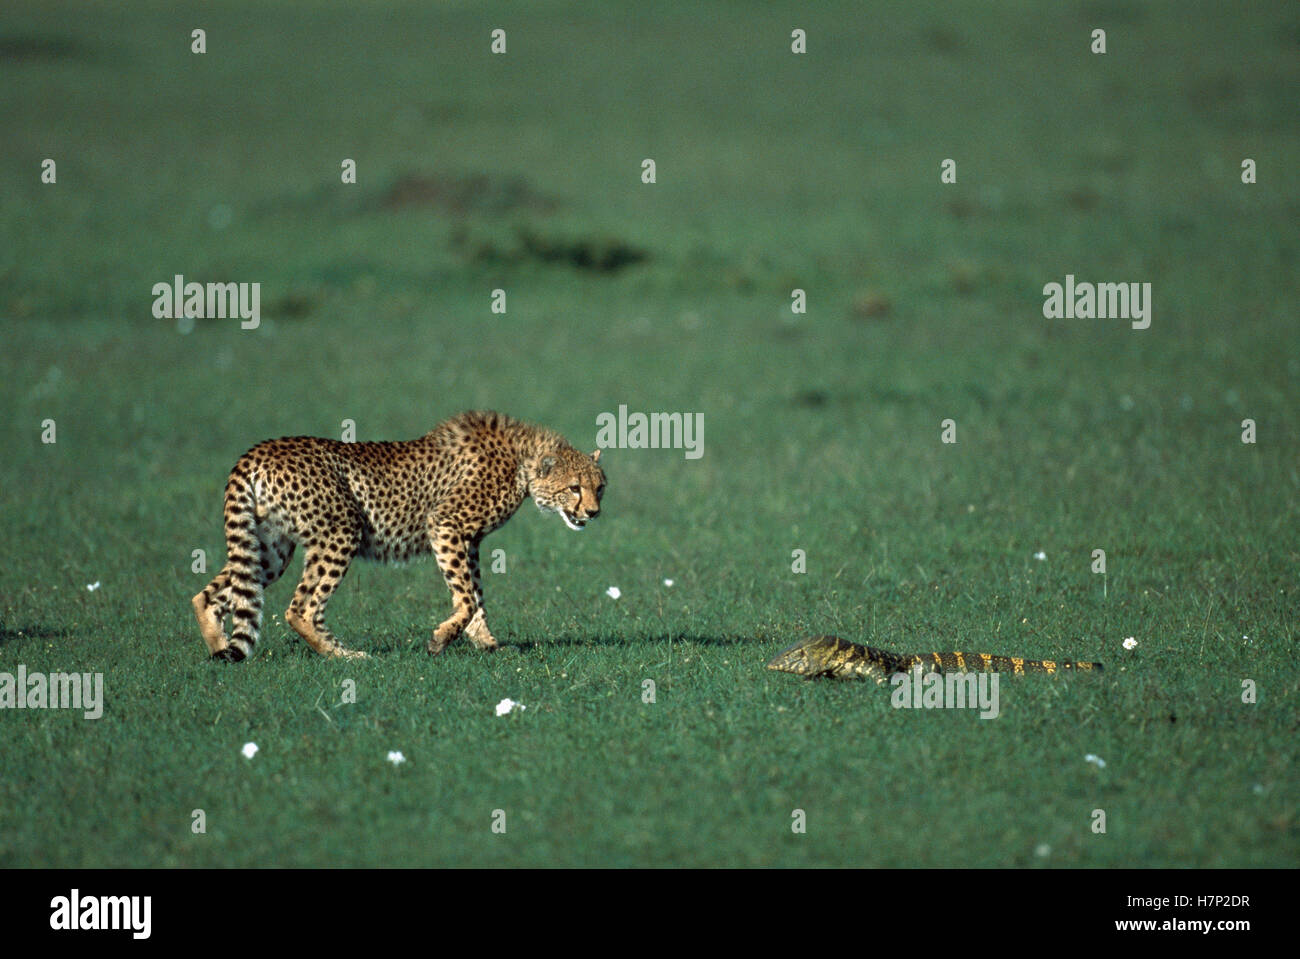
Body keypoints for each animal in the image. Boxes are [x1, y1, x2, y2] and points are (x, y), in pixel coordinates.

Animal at [191, 410, 605, 662]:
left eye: (599, 487)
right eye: (574, 488)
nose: (593, 512)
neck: (522, 461)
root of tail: (260, 450)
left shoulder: (468, 540)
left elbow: (475, 594)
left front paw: (487, 642)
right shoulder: (446, 525)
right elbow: (467, 597)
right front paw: (441, 639)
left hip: (272, 547)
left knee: (212, 594)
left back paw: (220, 649)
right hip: (341, 531)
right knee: (301, 608)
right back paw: (345, 656)